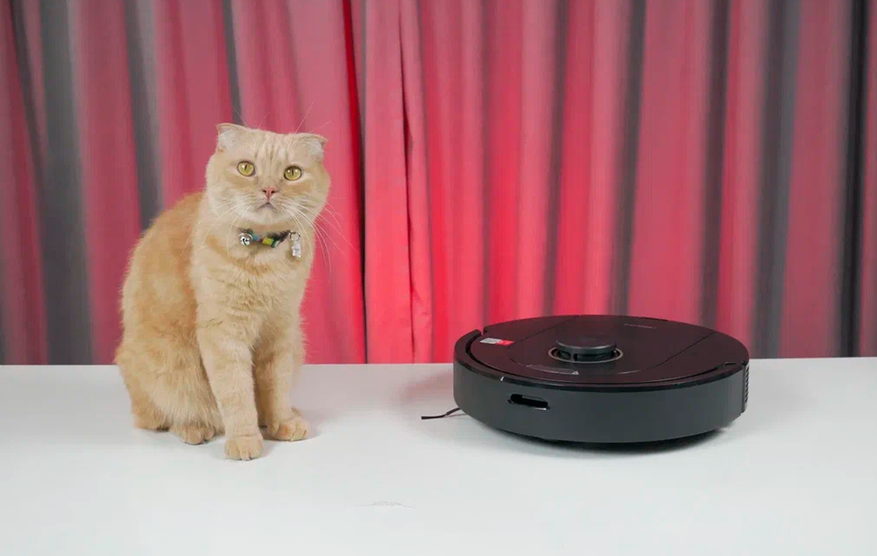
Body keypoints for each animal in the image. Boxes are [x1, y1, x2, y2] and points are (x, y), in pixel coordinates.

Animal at [115, 123, 329, 460]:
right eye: (246, 168)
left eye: (292, 173)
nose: (269, 189)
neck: (263, 259)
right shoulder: (224, 333)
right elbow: (236, 392)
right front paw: (244, 439)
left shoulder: (281, 329)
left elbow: (276, 385)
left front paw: (282, 421)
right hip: (165, 364)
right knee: (163, 415)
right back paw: (194, 427)